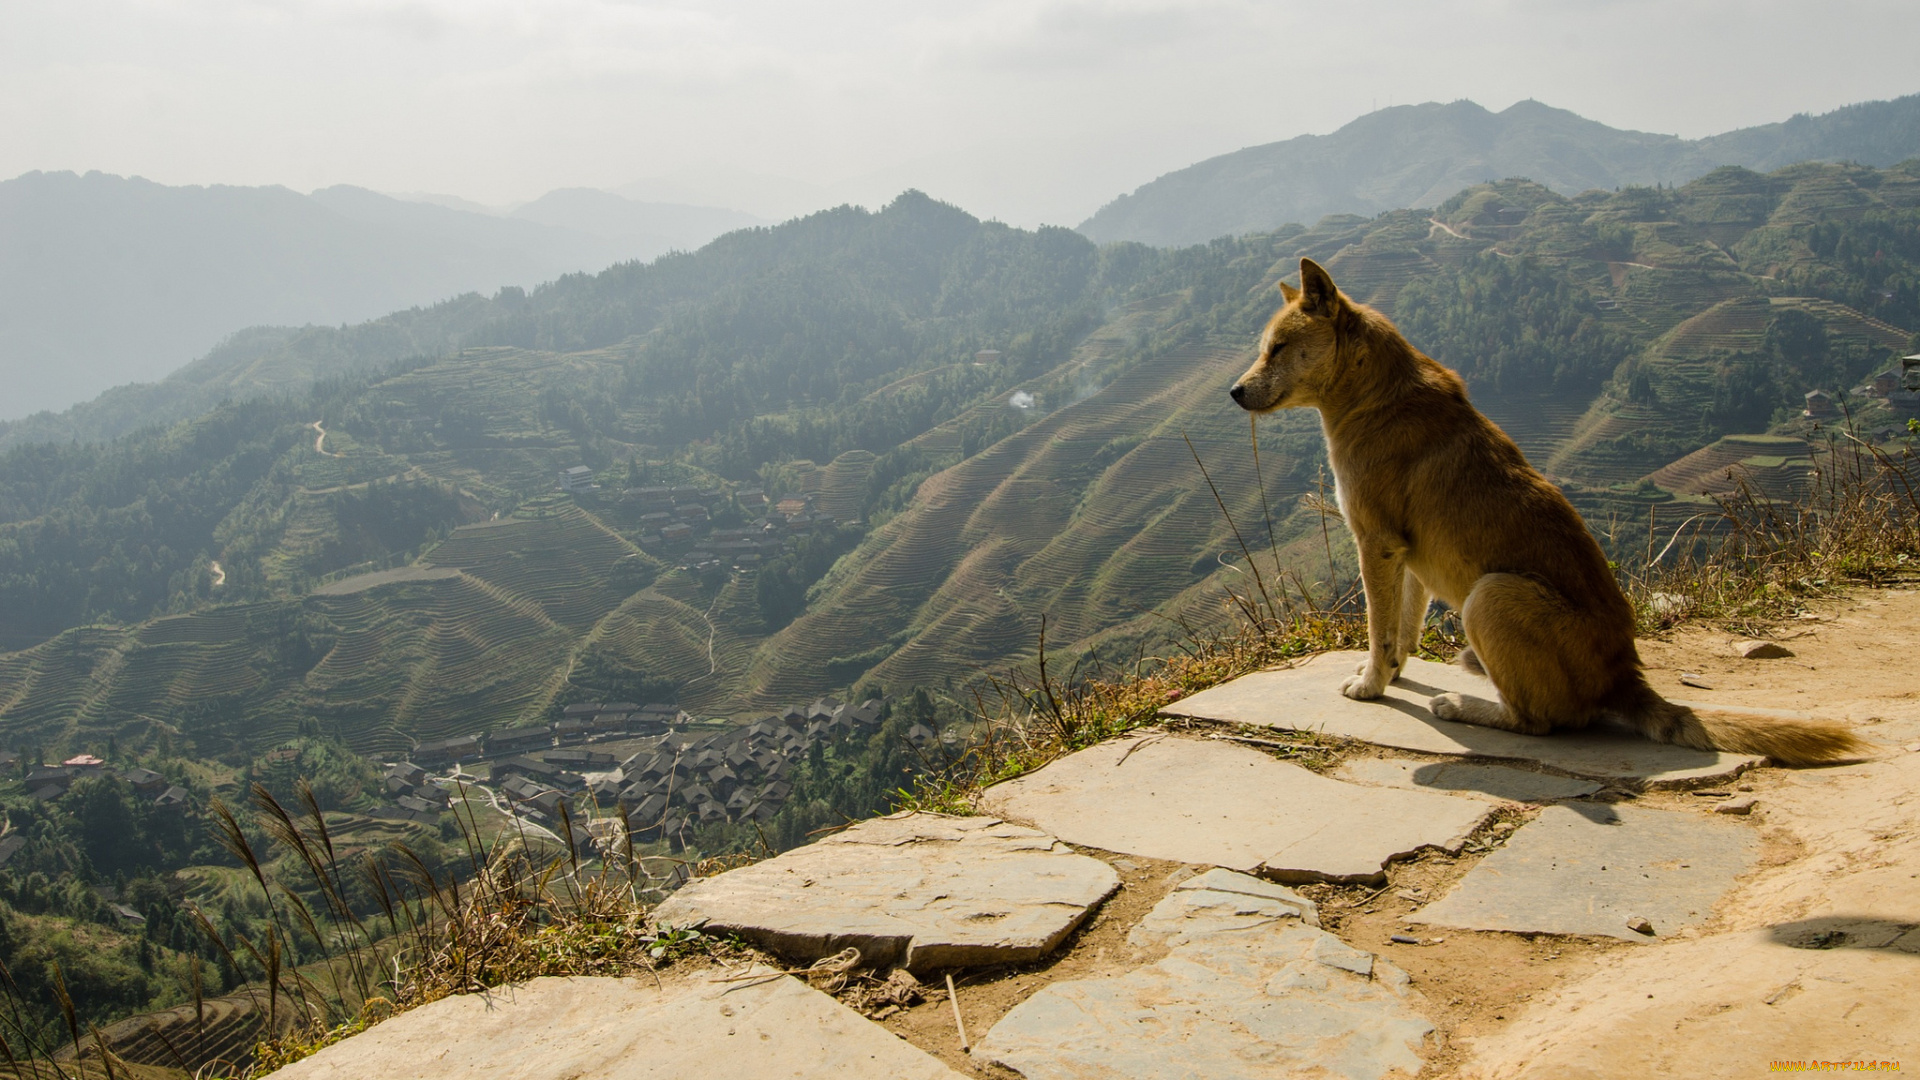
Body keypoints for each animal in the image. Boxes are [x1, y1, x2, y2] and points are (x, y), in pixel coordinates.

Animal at [1228, 255, 1858, 760]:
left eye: (1277, 348)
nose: (1233, 393)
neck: (1372, 395)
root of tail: (1624, 678)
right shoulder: (1406, 554)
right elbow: (1403, 629)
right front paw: (1393, 673)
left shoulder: (1375, 543)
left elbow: (1379, 630)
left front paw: (1371, 685)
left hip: (1492, 595)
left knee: (1538, 722)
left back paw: (1463, 705)